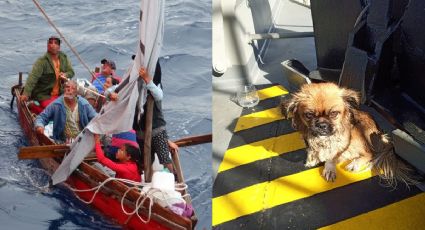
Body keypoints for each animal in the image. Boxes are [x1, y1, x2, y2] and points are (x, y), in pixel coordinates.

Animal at [282, 82, 414, 187]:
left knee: (370, 153)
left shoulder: (342, 143)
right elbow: (312, 149)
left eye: (334, 113)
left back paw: (355, 164)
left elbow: (332, 156)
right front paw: (312, 157)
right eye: (309, 115)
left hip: (356, 134)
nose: (321, 124)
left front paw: (329, 169)